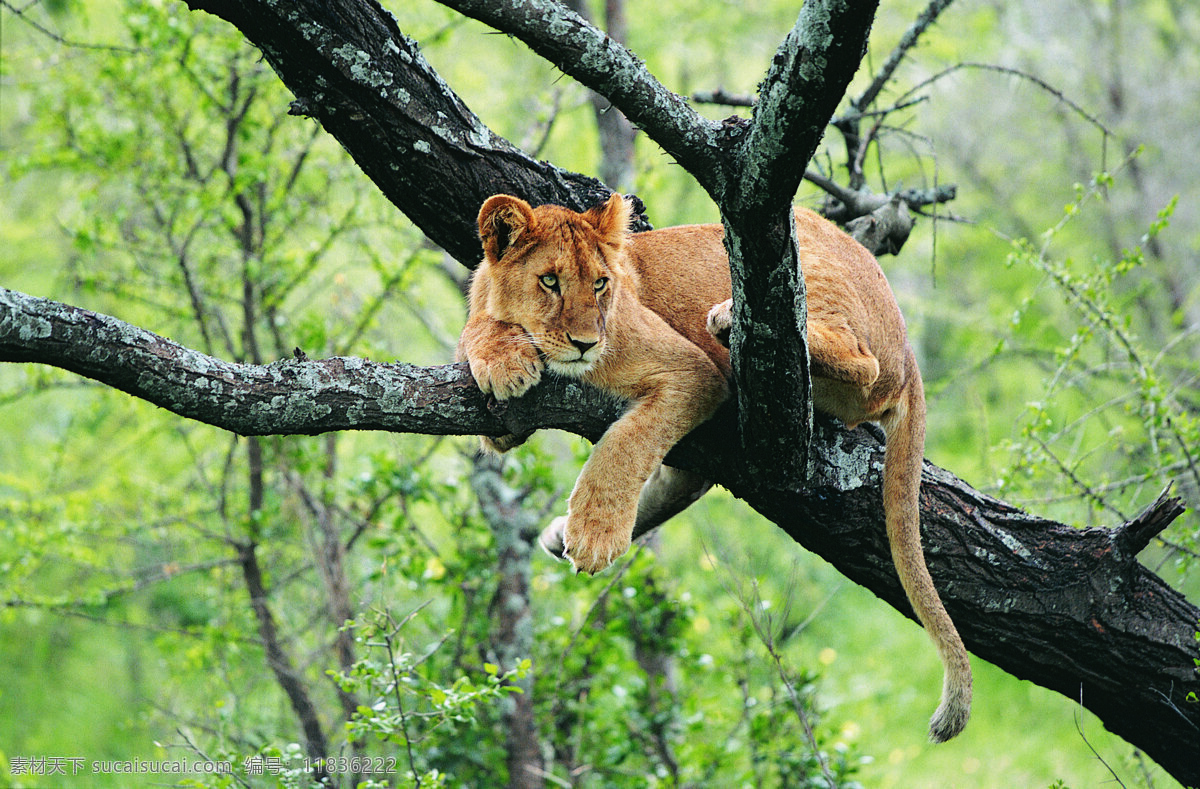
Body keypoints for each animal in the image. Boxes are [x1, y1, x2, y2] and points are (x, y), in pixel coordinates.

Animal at [453, 191, 969, 743]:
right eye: (549, 281)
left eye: (600, 284)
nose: (586, 342)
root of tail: (908, 352)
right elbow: (478, 341)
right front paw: (503, 357)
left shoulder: (691, 371)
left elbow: (626, 443)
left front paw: (594, 535)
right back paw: (557, 532)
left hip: (800, 261)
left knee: (858, 360)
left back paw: (729, 320)